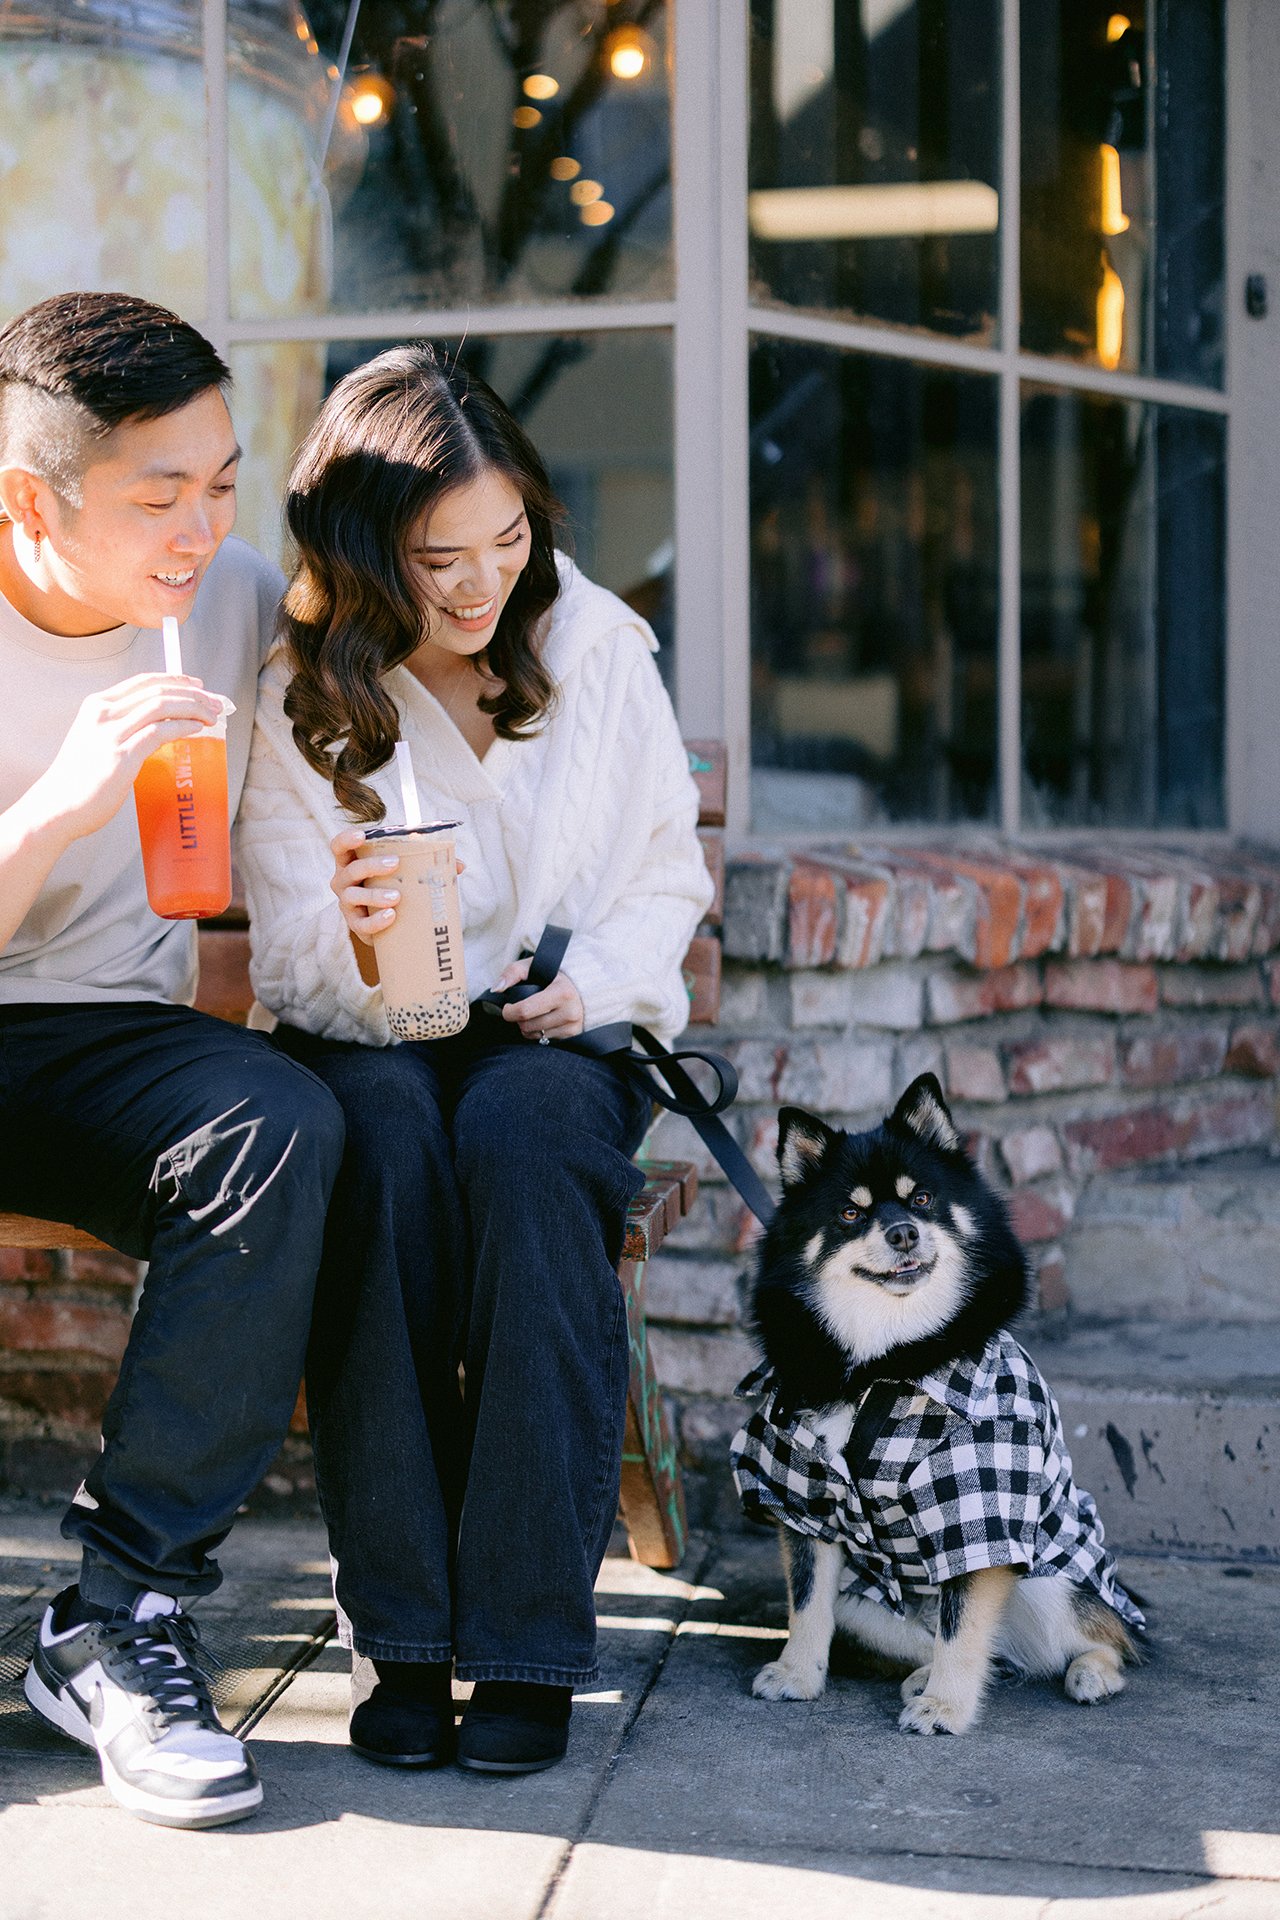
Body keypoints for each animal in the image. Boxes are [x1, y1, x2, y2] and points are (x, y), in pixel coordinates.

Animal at [736, 1075, 1143, 1735]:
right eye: (850, 1212)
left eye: (922, 1199)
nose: (902, 1232)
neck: (884, 1360)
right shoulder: (803, 1502)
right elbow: (807, 1605)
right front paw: (797, 1674)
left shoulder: (979, 1511)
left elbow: (963, 1630)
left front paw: (947, 1708)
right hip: (863, 1604)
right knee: (960, 1645)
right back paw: (922, 1676)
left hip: (1052, 1581)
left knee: (1103, 1638)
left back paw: (1091, 1673)